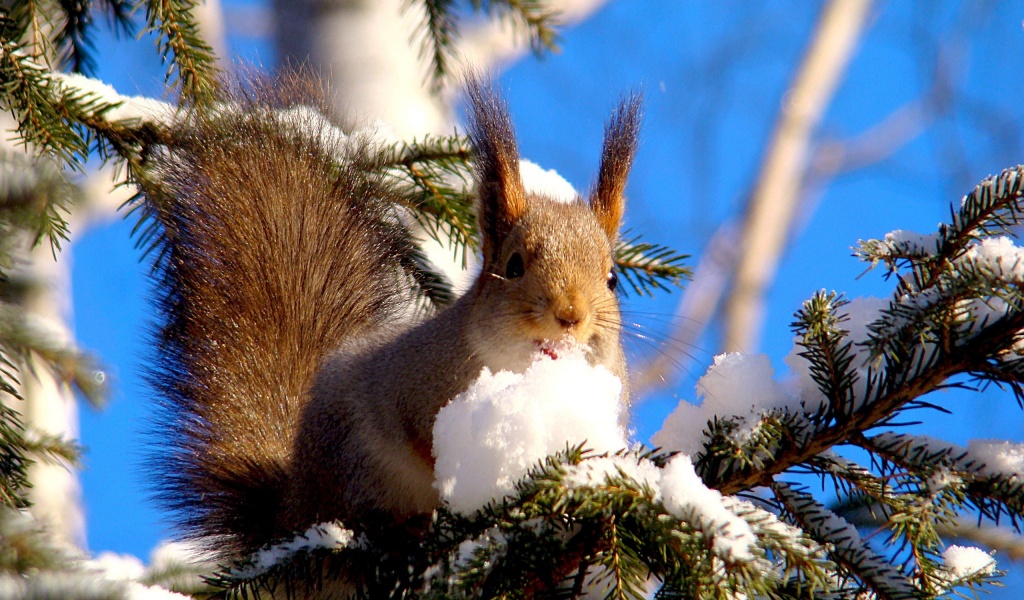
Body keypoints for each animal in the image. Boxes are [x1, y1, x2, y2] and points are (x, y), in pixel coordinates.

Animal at [144, 73, 638, 569]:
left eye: (612, 278)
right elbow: (421, 443)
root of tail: (293, 508)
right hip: (355, 467)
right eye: (513, 266)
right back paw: (402, 531)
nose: (570, 315)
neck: (525, 371)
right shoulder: (411, 387)